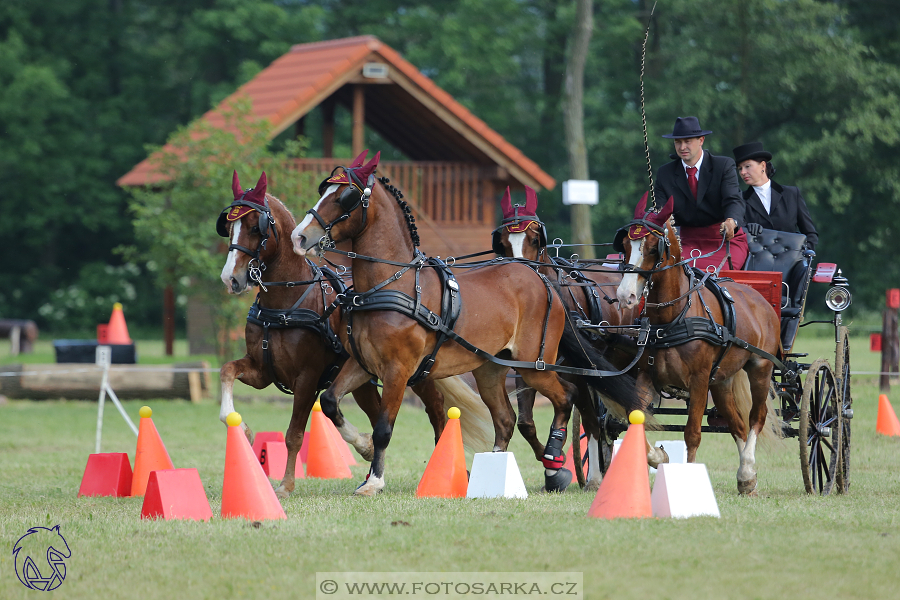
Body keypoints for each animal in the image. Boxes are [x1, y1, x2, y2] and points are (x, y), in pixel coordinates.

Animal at [216, 170, 492, 496]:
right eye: (228, 226)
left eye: (254, 228)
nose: (231, 278)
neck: (287, 303)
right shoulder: (262, 371)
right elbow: (227, 371)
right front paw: (242, 429)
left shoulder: (307, 378)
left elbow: (294, 434)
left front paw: (285, 485)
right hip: (364, 379)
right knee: (375, 414)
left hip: (412, 374)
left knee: (436, 409)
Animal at [290, 151, 640, 496]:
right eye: (324, 189)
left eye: (345, 196)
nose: (299, 236)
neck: (391, 285)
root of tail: (542, 281)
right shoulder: (363, 362)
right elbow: (330, 402)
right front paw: (362, 447)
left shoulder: (397, 370)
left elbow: (384, 428)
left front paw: (374, 480)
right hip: (490, 369)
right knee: (506, 419)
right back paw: (494, 472)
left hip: (534, 364)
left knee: (567, 396)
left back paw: (555, 459)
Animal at [492, 188, 668, 492]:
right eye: (502, 243)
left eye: (535, 239)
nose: (519, 278)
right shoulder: (528, 369)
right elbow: (526, 422)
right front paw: (552, 464)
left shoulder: (583, 373)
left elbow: (590, 417)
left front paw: (585, 474)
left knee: (626, 409)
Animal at [612, 195, 780, 494]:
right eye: (625, 246)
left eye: (653, 248)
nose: (625, 296)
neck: (673, 318)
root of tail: (756, 297)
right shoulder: (646, 375)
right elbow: (635, 417)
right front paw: (659, 457)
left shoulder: (699, 381)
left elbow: (692, 433)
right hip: (722, 381)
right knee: (737, 424)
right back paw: (745, 479)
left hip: (760, 368)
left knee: (756, 418)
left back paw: (748, 469)